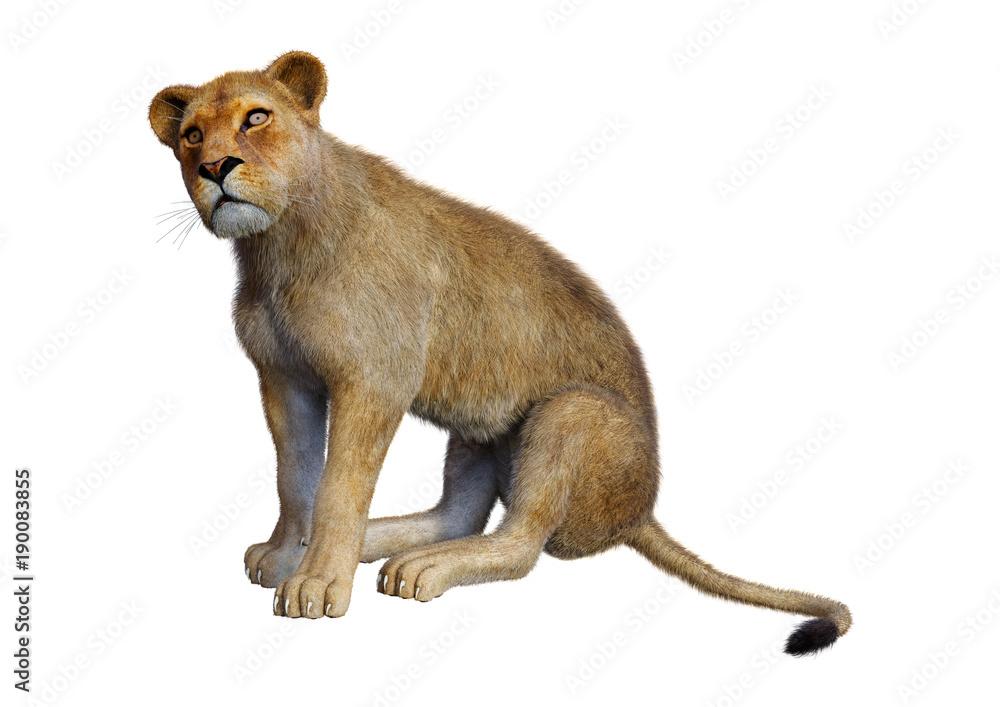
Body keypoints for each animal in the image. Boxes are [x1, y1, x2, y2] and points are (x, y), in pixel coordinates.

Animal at [148, 51, 850, 655]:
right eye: (191, 136)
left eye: (256, 118)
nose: (215, 169)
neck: (277, 247)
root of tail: (642, 512)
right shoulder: (282, 377)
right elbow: (295, 476)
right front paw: (286, 554)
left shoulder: (374, 379)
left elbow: (339, 487)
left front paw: (318, 583)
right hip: (478, 427)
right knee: (458, 514)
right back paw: (388, 546)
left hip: (571, 412)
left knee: (521, 545)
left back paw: (417, 566)